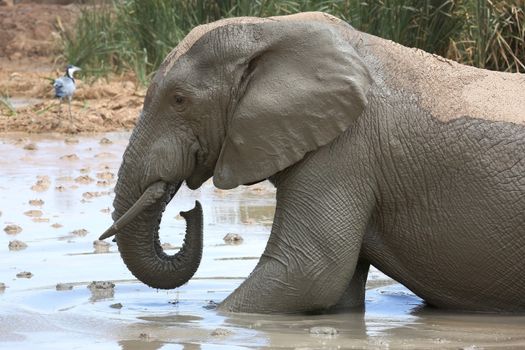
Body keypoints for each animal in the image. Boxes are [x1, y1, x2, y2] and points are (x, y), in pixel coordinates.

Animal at [99, 12, 524, 314]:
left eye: (179, 100)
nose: (190, 210)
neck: (272, 29)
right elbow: (336, 293)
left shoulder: (346, 150)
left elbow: (307, 272)